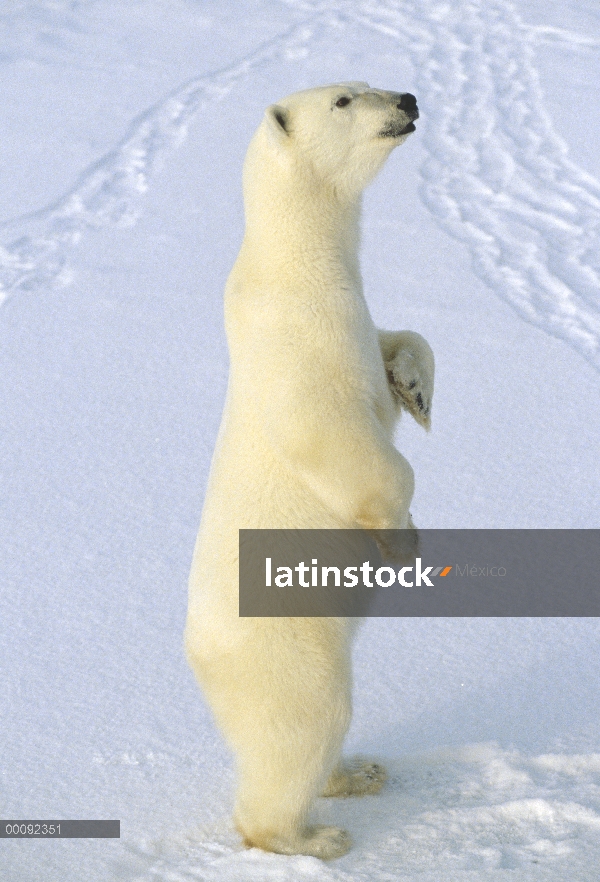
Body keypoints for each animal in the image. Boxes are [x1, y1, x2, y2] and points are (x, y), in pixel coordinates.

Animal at [185, 84, 434, 860]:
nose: (410, 97)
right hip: (283, 647)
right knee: (304, 722)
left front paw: (417, 392)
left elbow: (402, 341)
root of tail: (200, 662)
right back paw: (314, 835)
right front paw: (403, 539)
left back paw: (360, 771)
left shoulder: (355, 315)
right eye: (345, 98)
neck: (295, 264)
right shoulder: (302, 339)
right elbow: (334, 437)